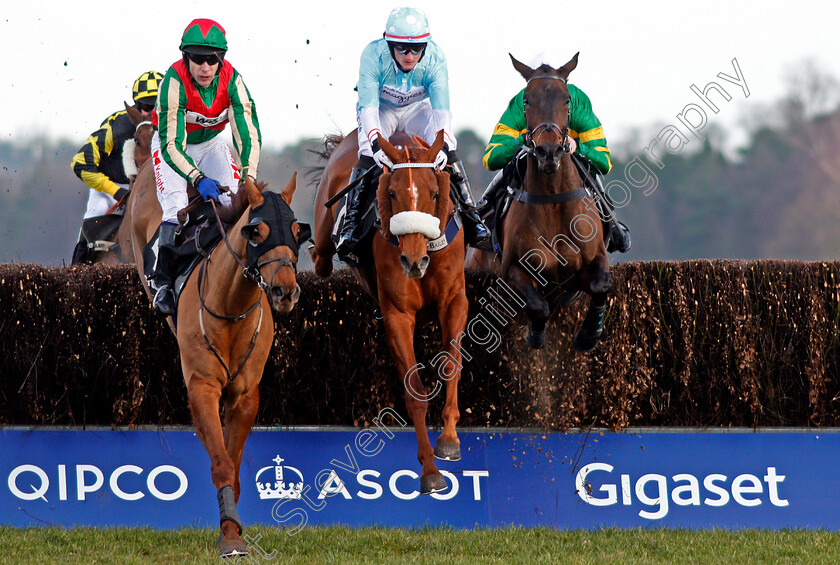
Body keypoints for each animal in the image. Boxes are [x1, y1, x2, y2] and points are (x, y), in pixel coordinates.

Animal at [128, 158, 306, 556]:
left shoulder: (244, 395)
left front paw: (234, 529)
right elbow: (222, 463)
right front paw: (230, 539)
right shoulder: (203, 386)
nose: (285, 291)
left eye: (297, 231)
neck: (231, 308)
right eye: (257, 232)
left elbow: (234, 465)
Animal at [312, 130, 470, 496]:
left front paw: (449, 441)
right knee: (320, 257)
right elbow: (415, 393)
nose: (413, 261)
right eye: (393, 193)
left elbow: (451, 365)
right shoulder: (398, 315)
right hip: (324, 237)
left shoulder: (455, 301)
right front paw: (430, 471)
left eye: (435, 192)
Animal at [466, 54, 612, 352]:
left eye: (567, 99)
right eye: (526, 100)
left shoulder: (592, 262)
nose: (548, 151)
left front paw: (589, 334)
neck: (553, 198)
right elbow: (538, 306)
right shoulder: (513, 269)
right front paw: (536, 333)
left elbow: (601, 285)